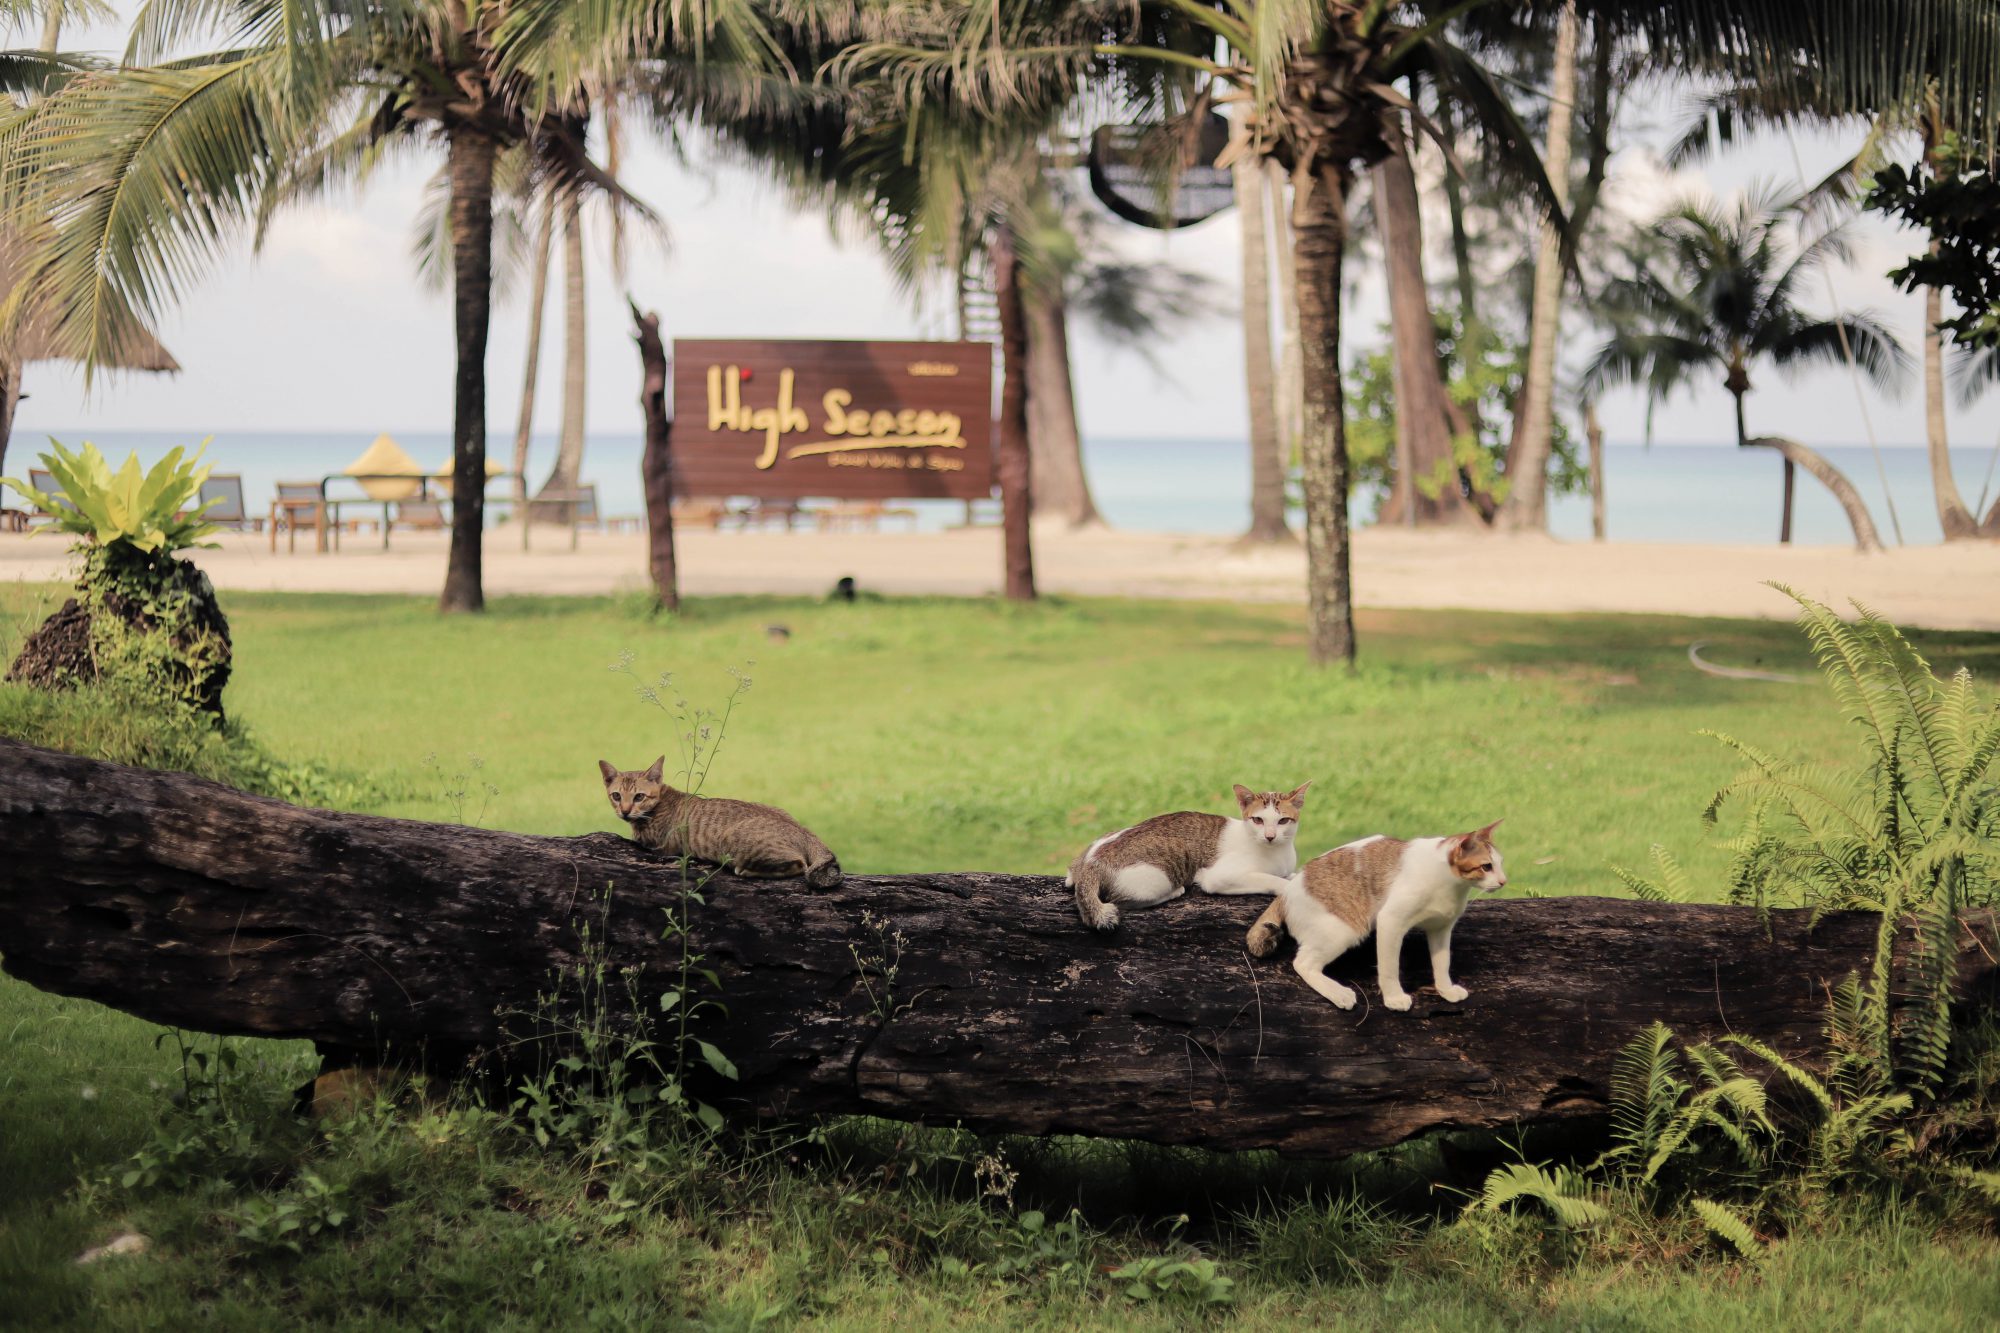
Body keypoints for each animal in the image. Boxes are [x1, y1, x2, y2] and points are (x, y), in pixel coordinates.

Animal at [596, 752, 840, 888]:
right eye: (616, 796)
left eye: (639, 796)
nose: (625, 811)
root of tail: (805, 831)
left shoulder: (660, 847)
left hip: (731, 841)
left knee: (799, 865)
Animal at [1064, 784, 1312, 928]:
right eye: (1258, 820)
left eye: (1283, 821)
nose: (1270, 836)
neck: (1278, 853)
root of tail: (1090, 863)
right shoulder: (1218, 877)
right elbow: (1270, 879)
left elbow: (1289, 875)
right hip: (1157, 878)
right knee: (1123, 900)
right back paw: (1175, 891)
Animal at [1240, 816, 1504, 1012]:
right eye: (1486, 866)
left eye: (1501, 864)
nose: (1504, 881)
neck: (1452, 885)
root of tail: (1287, 892)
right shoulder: (1391, 921)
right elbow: (1389, 967)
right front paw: (1394, 998)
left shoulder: (1441, 929)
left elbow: (1442, 962)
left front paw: (1445, 990)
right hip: (1345, 930)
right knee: (1303, 963)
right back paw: (1339, 993)